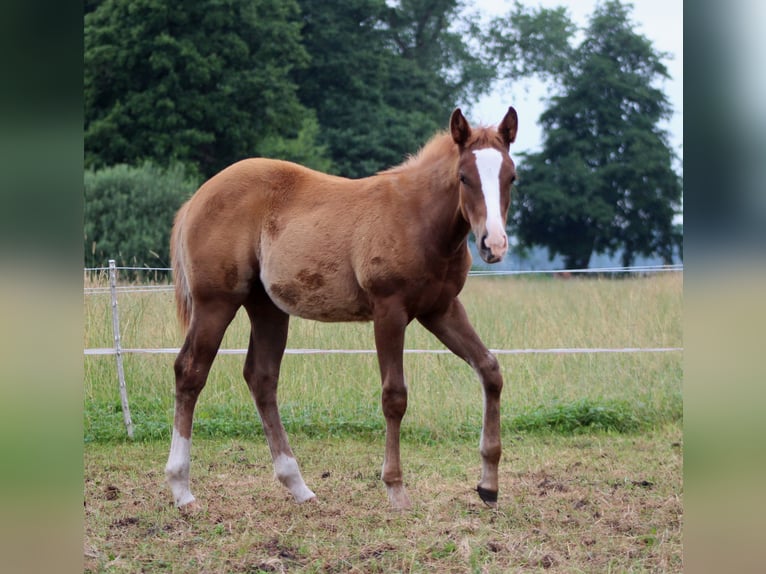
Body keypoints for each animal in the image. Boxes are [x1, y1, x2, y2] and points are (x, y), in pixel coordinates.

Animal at [165, 107, 518, 510]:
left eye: (511, 177)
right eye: (463, 177)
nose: (494, 244)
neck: (418, 219)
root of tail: (197, 198)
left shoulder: (440, 308)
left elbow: (489, 370)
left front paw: (488, 485)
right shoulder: (389, 310)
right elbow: (394, 396)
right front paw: (395, 488)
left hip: (267, 306)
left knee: (262, 378)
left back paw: (298, 486)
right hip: (215, 302)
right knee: (190, 371)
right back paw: (182, 489)